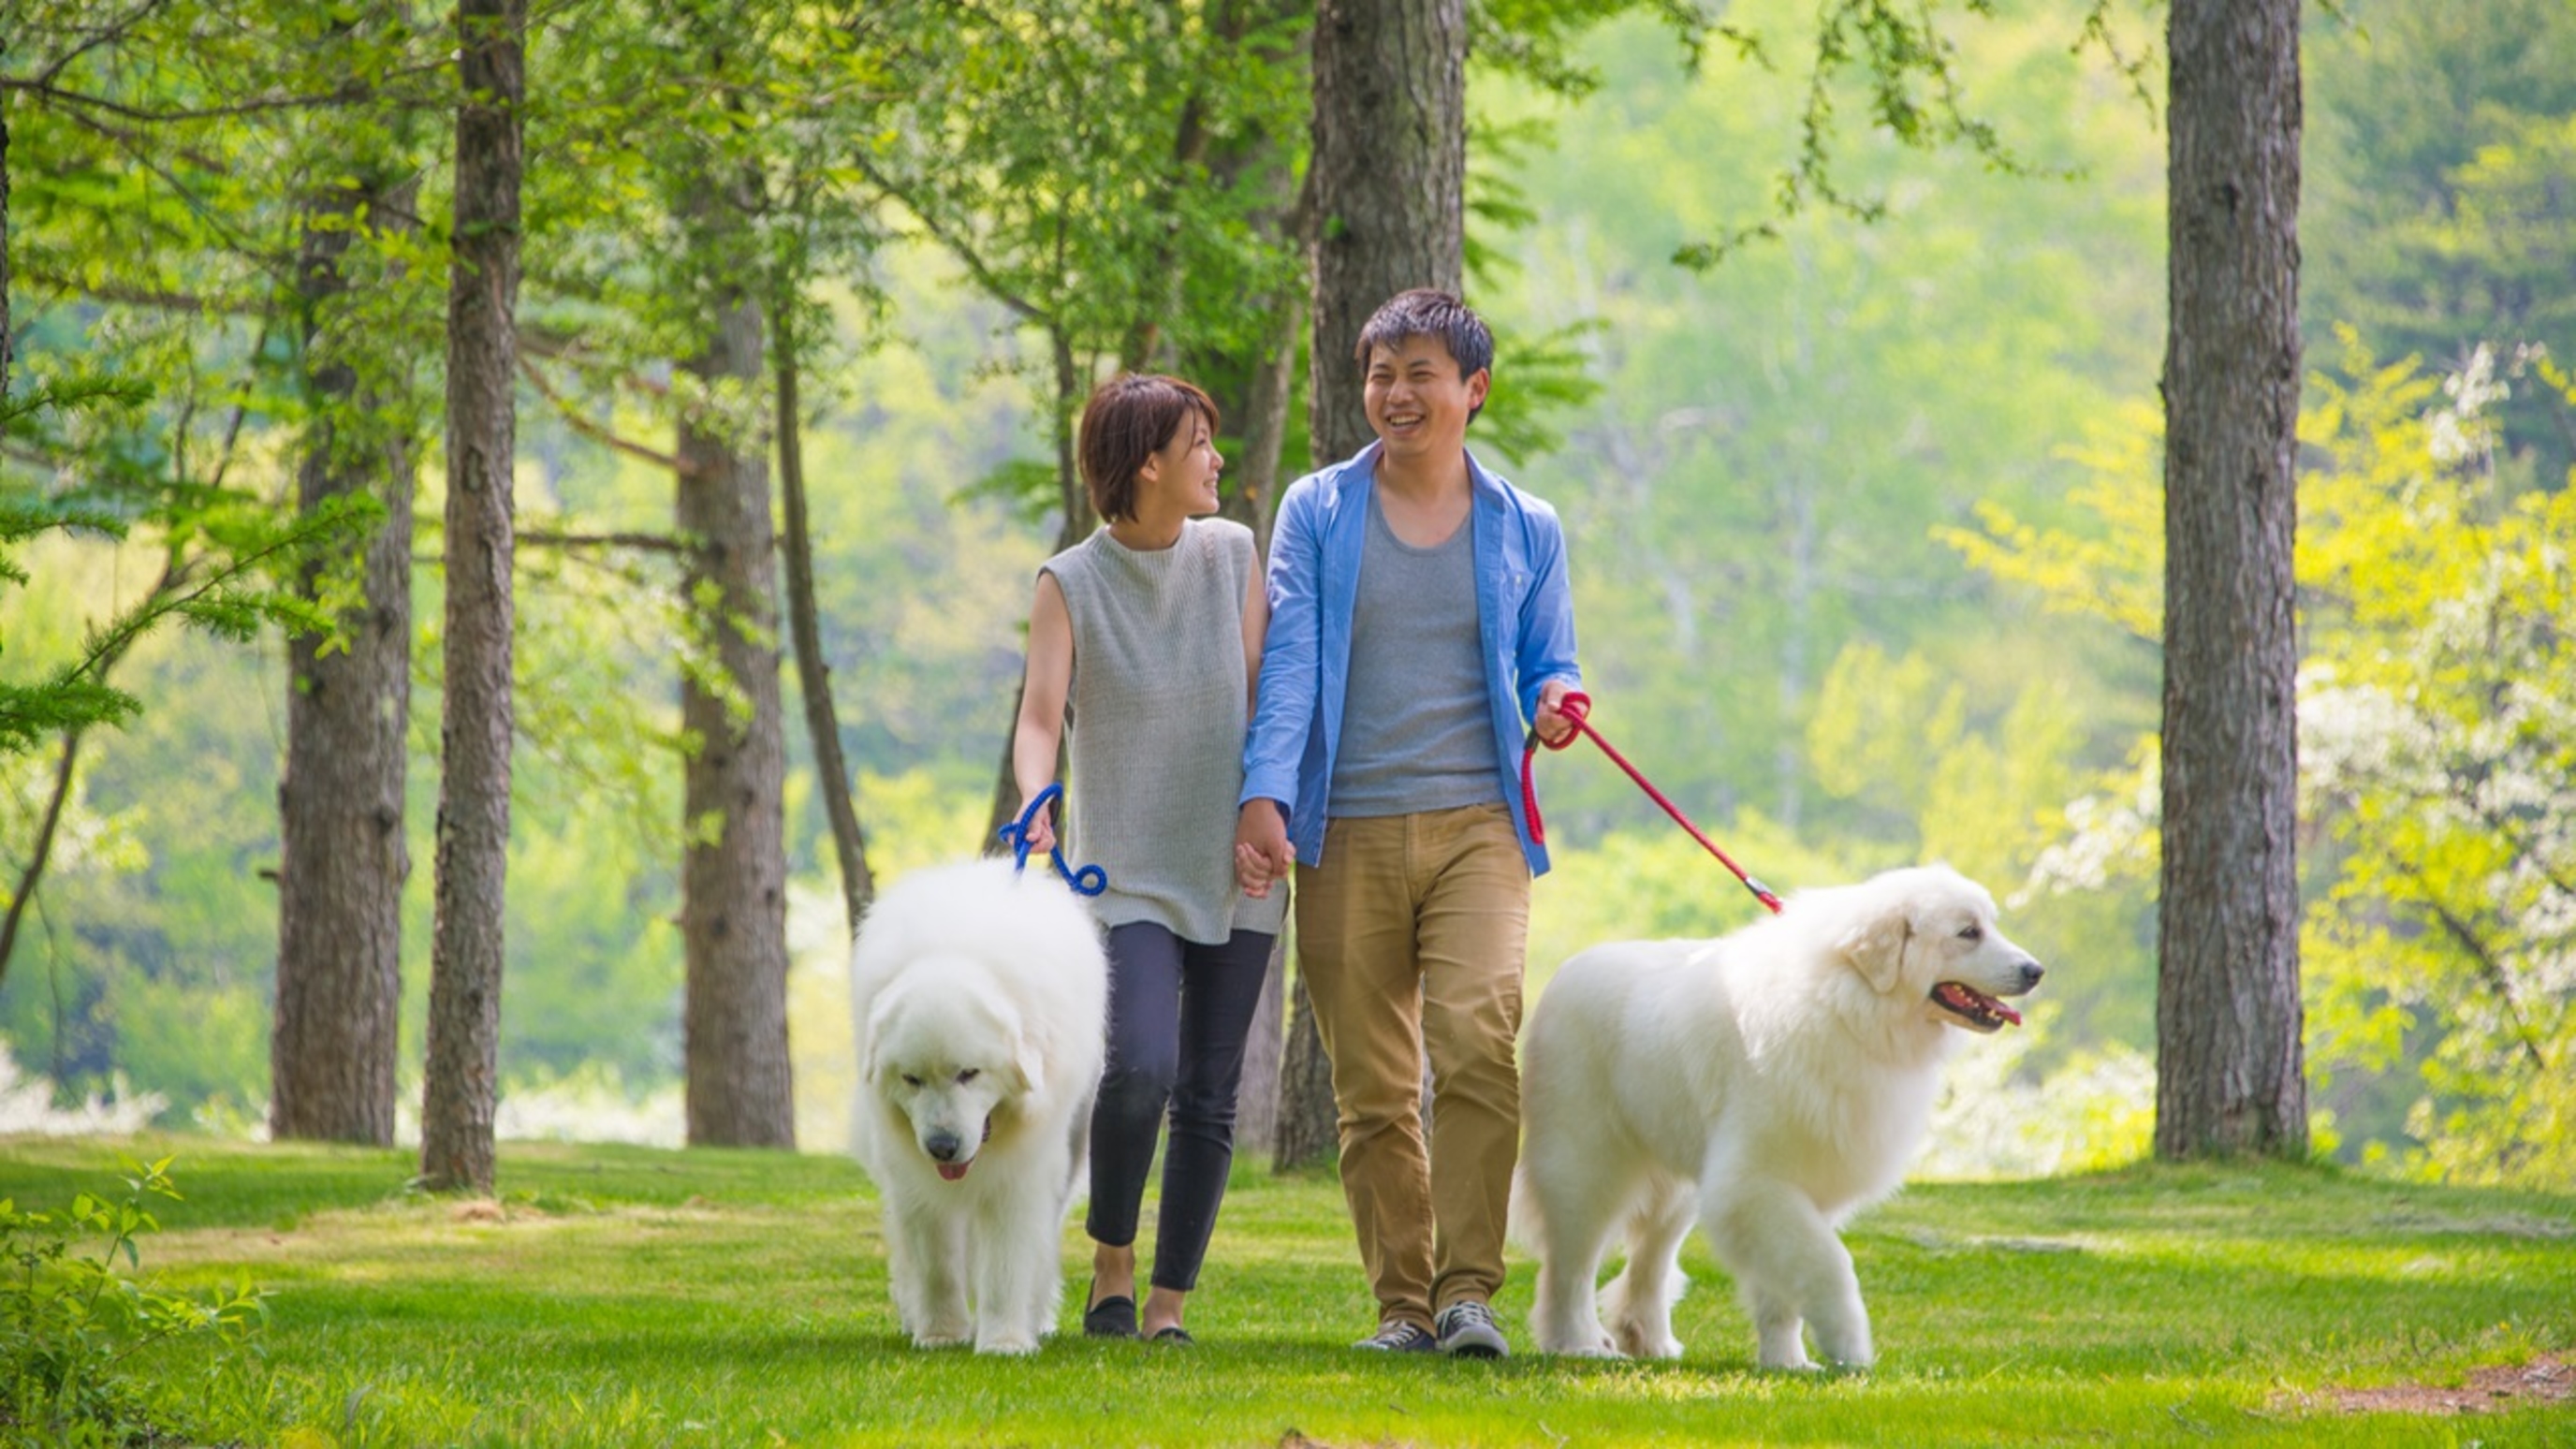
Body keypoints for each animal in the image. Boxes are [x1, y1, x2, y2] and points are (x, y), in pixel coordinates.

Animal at [850, 850, 1102, 1351]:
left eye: (969, 1074)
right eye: (911, 1079)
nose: (942, 1147)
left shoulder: (1021, 1174)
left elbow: (1007, 1261)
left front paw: (1005, 1341)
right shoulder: (913, 1180)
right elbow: (936, 1264)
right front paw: (941, 1334)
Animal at [1515, 860, 2040, 1371]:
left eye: (1989, 925)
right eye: (1968, 932)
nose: (2036, 970)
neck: (1847, 1005)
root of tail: (1568, 970)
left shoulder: (1790, 1190)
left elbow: (1784, 1292)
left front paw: (1788, 1362)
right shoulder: (1757, 1185)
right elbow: (1828, 1265)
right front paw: (1848, 1344)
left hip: (1676, 1191)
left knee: (1649, 1263)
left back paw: (1649, 1341)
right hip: (1586, 1169)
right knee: (1569, 1268)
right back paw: (1577, 1343)